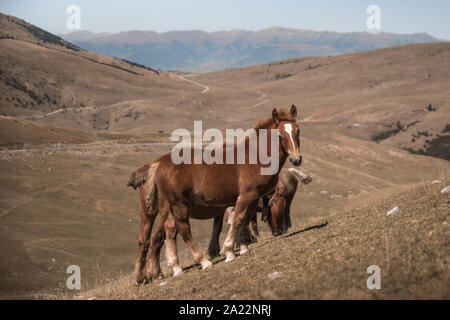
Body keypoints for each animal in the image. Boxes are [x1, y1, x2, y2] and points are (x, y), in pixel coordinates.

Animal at [128, 105, 300, 282]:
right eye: (280, 135)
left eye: (297, 131)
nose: (296, 159)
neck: (255, 157)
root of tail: (157, 164)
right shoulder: (247, 195)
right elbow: (237, 220)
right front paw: (229, 252)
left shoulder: (245, 199)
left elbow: (242, 221)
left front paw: (243, 247)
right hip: (179, 204)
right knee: (183, 229)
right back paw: (203, 262)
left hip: (169, 207)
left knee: (167, 232)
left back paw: (175, 268)